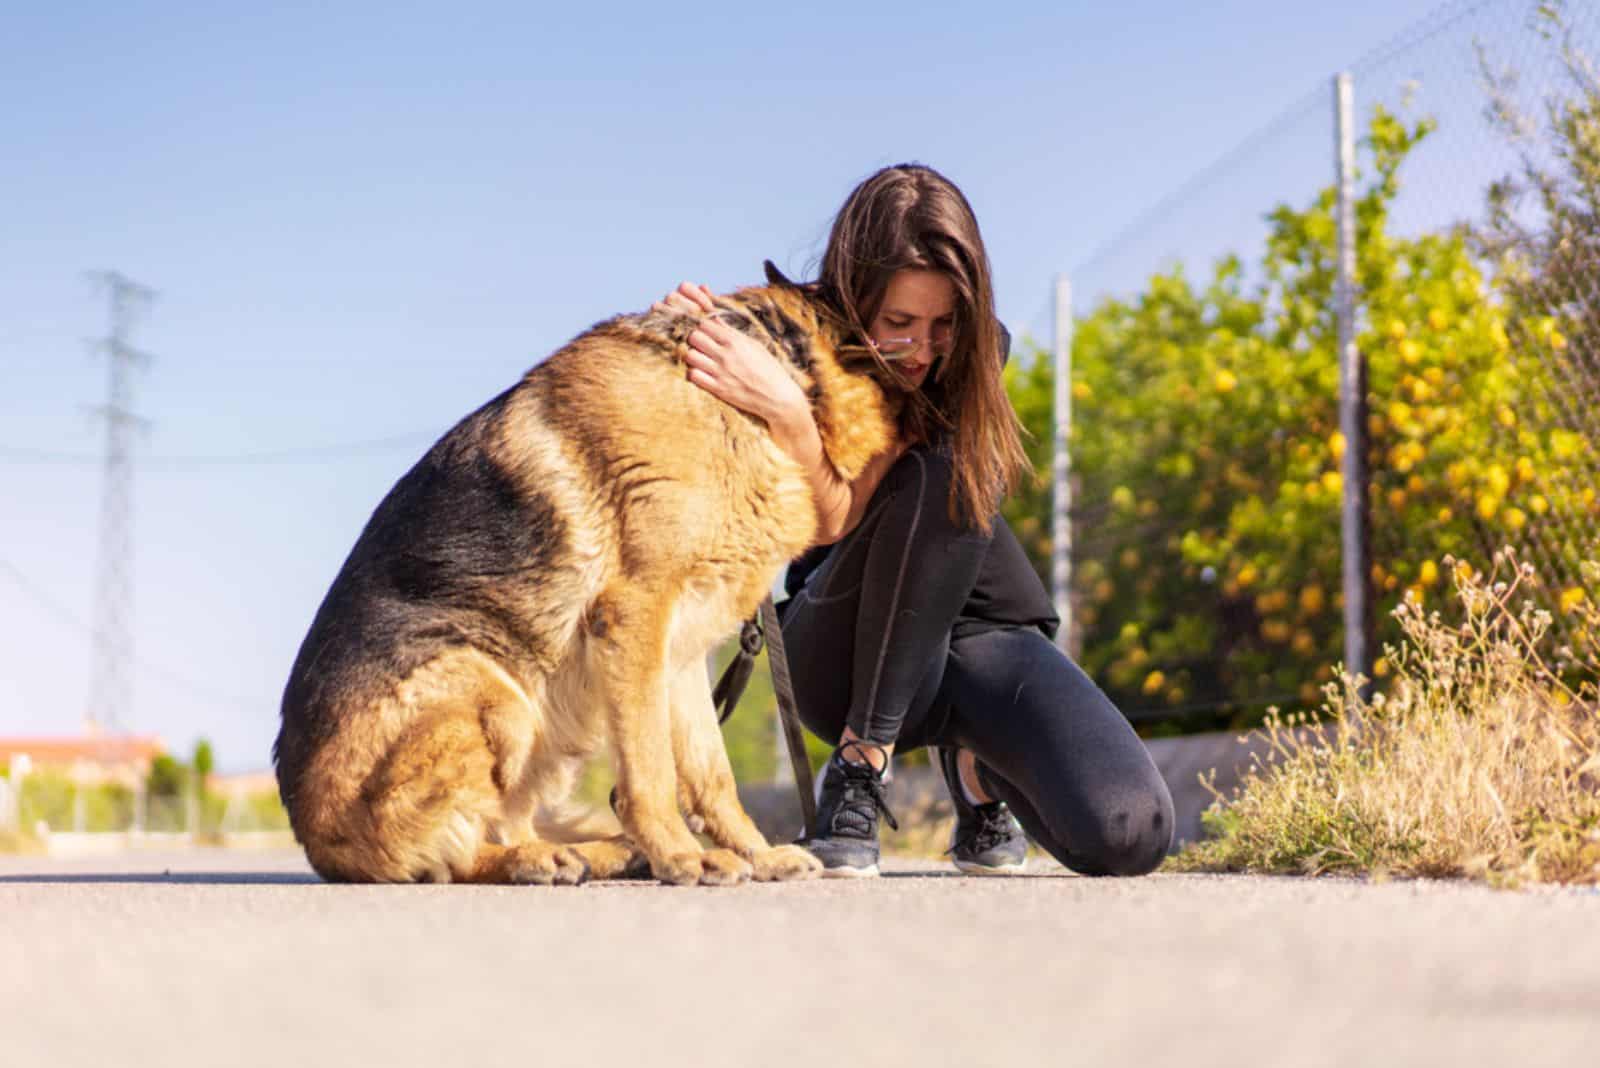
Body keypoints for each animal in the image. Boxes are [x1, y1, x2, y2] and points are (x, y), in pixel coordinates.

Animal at [273, 265, 902, 882]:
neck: (753, 387)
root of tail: (315, 840)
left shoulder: (683, 649)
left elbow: (711, 774)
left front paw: (756, 854)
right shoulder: (635, 618)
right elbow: (650, 770)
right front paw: (685, 856)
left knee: (508, 823)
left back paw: (600, 854)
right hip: (490, 692)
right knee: (454, 855)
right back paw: (539, 860)